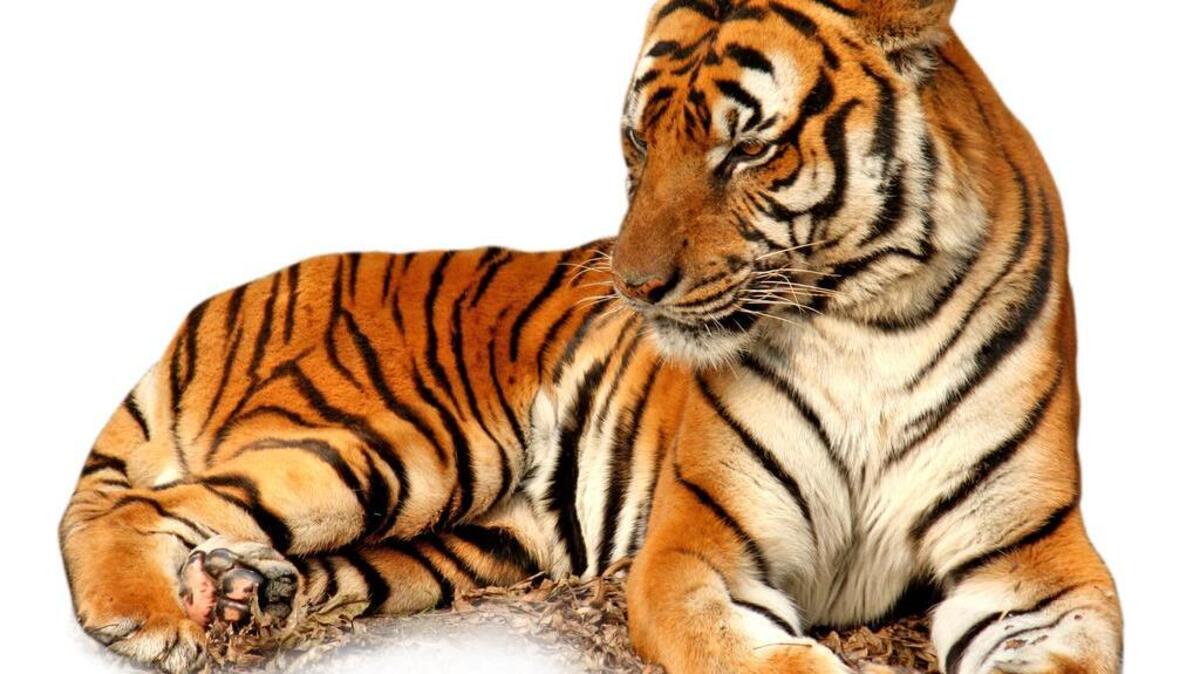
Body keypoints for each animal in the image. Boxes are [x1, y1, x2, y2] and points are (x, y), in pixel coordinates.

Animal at [60, 1, 1123, 673]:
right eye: (639, 142)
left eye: (747, 146)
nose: (634, 287)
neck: (867, 322)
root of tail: (224, 298)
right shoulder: (698, 552)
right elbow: (768, 658)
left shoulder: (1036, 565)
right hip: (398, 445)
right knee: (135, 508)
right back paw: (149, 620)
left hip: (472, 543)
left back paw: (243, 594)